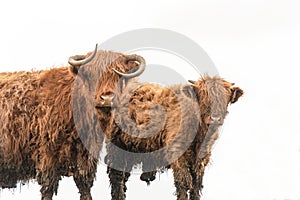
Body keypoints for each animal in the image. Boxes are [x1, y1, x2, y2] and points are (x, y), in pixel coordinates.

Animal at [0, 44, 146, 200]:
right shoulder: (47, 156)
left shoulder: (86, 157)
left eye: (120, 76)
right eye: (90, 74)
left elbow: (84, 186)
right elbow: (48, 188)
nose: (106, 99)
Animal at [96, 76, 244, 199]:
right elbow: (184, 182)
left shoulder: (201, 160)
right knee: (117, 177)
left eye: (225, 97)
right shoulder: (177, 153)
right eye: (203, 96)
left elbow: (196, 185)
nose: (215, 118)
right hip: (117, 146)